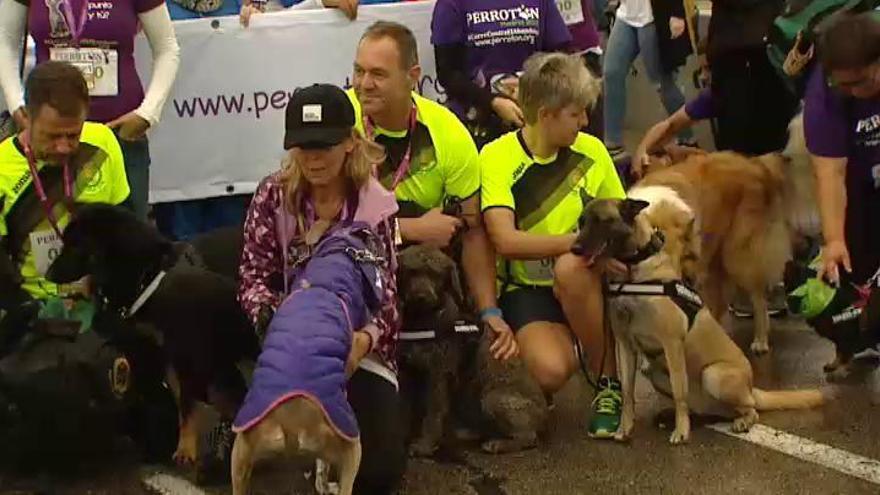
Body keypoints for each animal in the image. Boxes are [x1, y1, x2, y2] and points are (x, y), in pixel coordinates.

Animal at [45, 204, 258, 464]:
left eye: (75, 244)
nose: (47, 275)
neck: (148, 274)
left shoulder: (185, 353)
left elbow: (186, 404)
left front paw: (185, 448)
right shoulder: (160, 354)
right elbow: (177, 397)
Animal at [576, 192, 828, 444]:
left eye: (602, 221)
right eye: (581, 222)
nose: (575, 248)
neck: (633, 272)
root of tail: (751, 387)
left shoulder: (672, 344)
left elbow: (679, 391)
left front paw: (681, 431)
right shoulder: (625, 346)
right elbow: (628, 392)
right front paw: (624, 428)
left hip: (713, 375)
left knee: (750, 408)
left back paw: (739, 420)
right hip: (659, 375)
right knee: (711, 410)